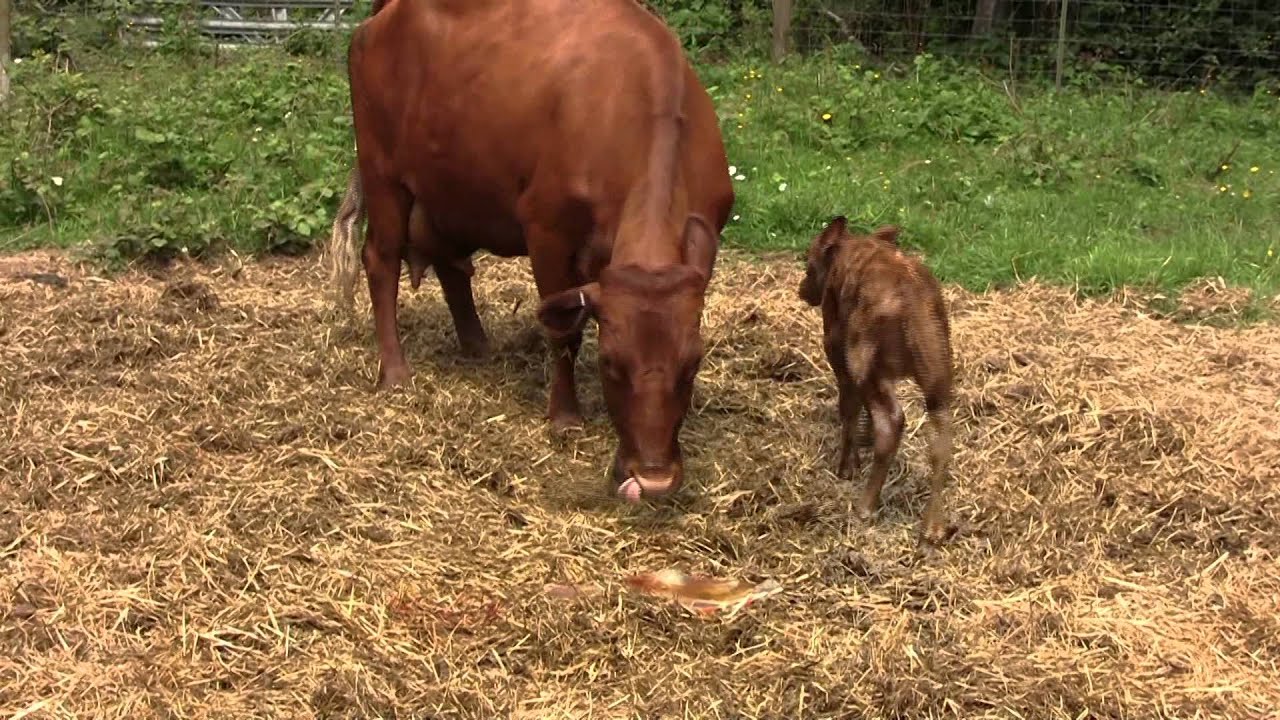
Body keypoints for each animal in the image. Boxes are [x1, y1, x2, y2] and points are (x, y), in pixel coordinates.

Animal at [324, 0, 735, 503]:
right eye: (610, 363)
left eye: (693, 363)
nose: (654, 479)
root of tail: (387, 12)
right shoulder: (546, 230)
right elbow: (564, 333)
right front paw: (565, 417)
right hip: (384, 175)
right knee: (381, 261)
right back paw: (396, 372)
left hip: (455, 188)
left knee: (451, 264)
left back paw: (477, 344)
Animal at [798, 217, 956, 544]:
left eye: (809, 263)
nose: (802, 290)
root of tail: (912, 302)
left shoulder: (837, 350)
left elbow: (848, 408)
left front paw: (847, 467)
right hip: (937, 372)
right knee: (941, 439)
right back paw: (933, 527)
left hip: (866, 364)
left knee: (892, 420)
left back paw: (865, 506)